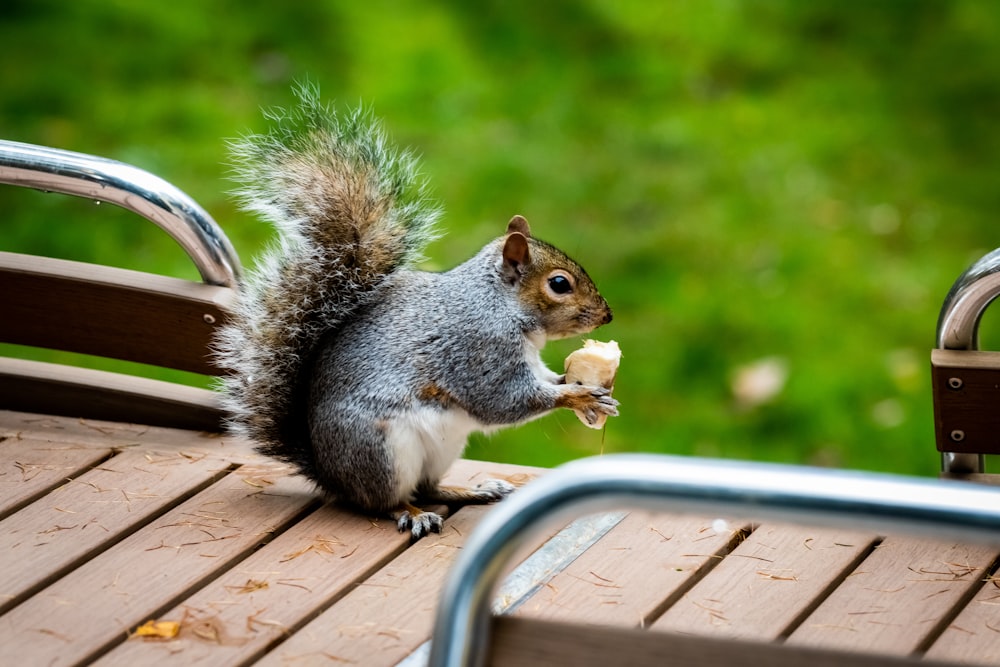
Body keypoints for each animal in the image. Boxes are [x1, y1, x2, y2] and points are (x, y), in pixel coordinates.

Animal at [215, 86, 616, 540]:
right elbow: (504, 401)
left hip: (442, 449)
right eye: (560, 284)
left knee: (428, 487)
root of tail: (329, 474)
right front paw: (577, 394)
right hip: (382, 451)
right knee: (381, 502)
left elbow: (542, 380)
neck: (498, 304)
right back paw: (411, 512)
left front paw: (574, 382)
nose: (606, 316)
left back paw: (470, 490)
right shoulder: (477, 351)